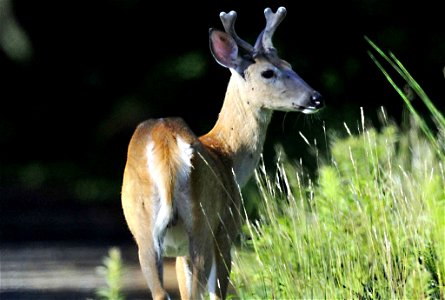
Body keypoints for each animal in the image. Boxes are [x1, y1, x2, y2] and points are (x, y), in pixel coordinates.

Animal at [121, 7, 322, 300]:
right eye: (268, 72)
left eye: (290, 65)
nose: (316, 98)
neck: (227, 156)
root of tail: (166, 147)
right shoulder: (227, 228)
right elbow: (218, 292)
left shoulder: (178, 251)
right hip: (202, 224)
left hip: (144, 231)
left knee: (161, 292)